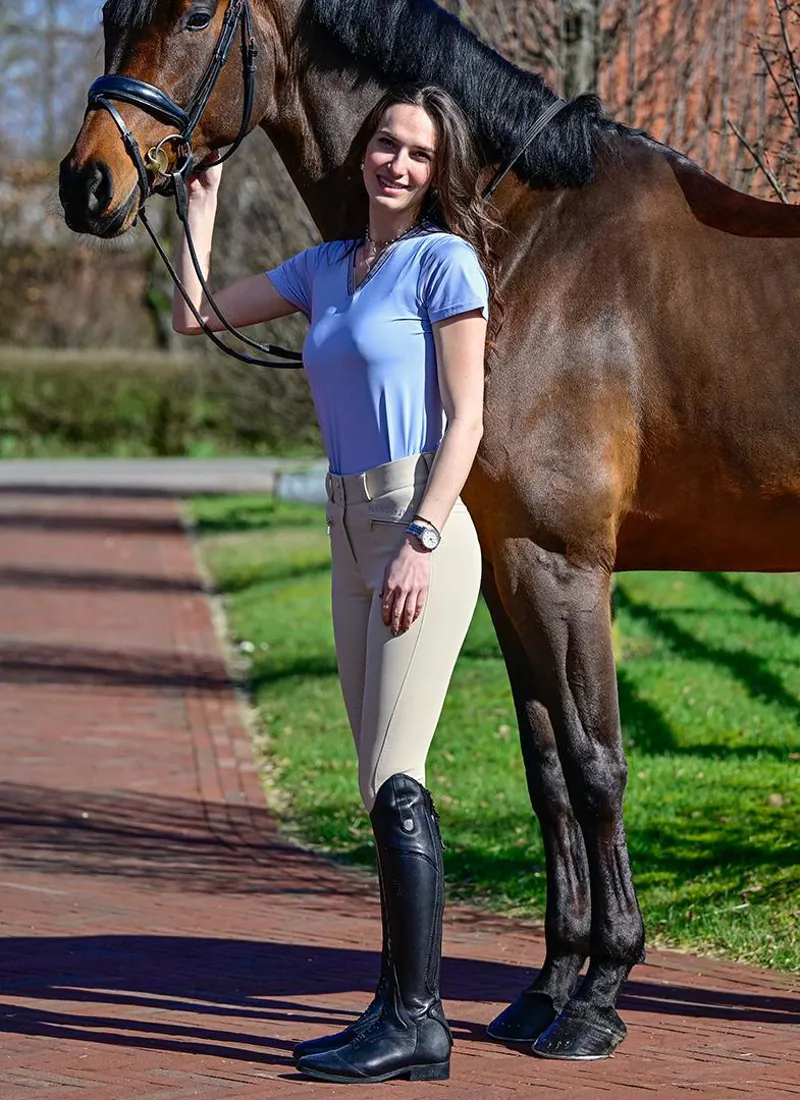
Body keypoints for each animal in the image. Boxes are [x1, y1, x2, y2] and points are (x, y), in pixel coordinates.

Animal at [59, 0, 800, 1061]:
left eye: (198, 13)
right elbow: (546, 770)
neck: (520, 243)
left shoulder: (565, 567)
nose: (87, 184)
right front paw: (546, 987)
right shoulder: (506, 569)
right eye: (110, 17)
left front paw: (599, 994)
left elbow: (598, 764)